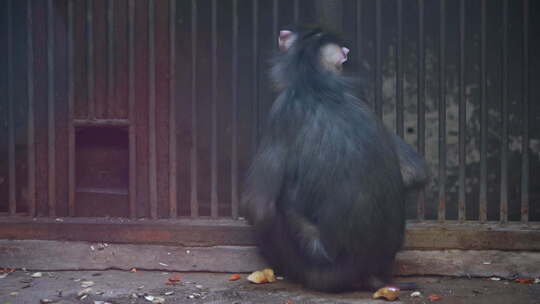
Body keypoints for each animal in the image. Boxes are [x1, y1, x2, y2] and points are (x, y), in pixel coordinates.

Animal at [243, 25, 428, 292]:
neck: (315, 82)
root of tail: (368, 271)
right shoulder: (359, 96)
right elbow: (414, 171)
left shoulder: (281, 111)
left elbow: (259, 207)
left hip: (313, 270)